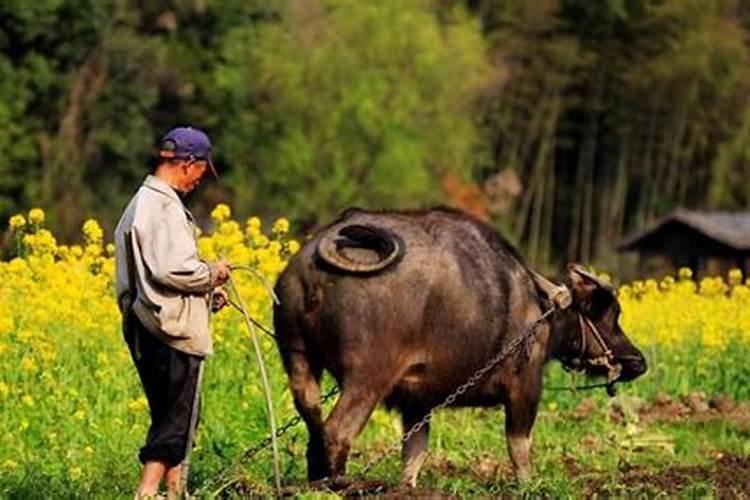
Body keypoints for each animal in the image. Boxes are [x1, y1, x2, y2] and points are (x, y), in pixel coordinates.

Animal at [274, 206, 648, 484]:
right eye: (610, 314)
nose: (638, 361)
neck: (539, 310)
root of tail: (313, 266)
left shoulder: (417, 403)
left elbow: (414, 453)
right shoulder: (525, 387)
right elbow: (519, 447)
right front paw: (528, 484)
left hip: (297, 357)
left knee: (312, 417)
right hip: (367, 377)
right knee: (337, 431)